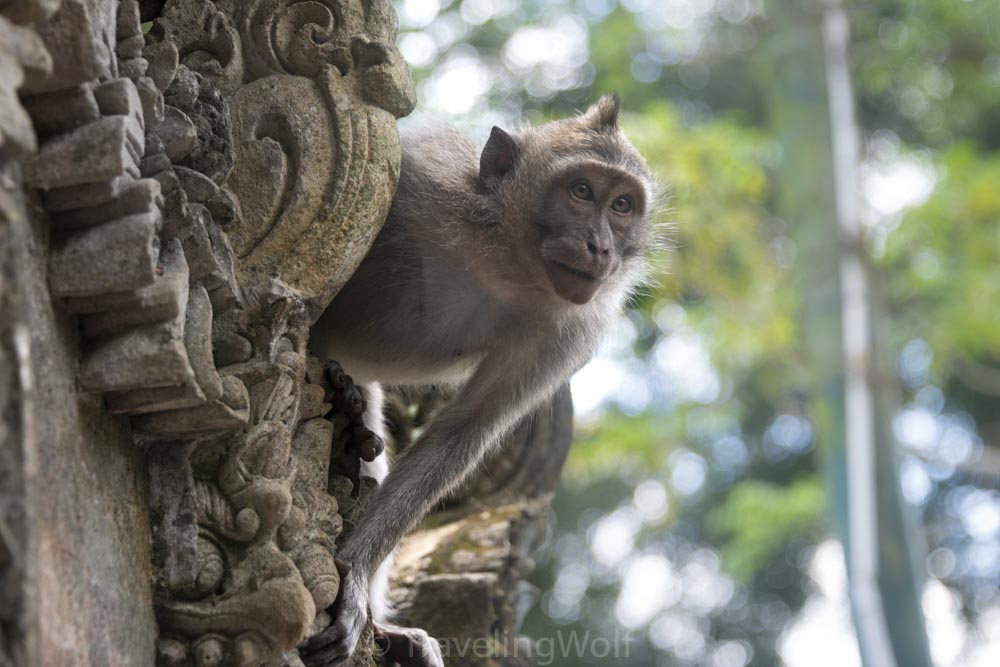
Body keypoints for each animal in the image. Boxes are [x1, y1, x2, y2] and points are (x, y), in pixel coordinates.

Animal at [308, 95, 660, 667]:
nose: (601, 247)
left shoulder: (570, 334)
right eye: (582, 192)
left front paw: (355, 578)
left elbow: (459, 438)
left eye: (623, 205)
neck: (505, 260)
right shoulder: (421, 179)